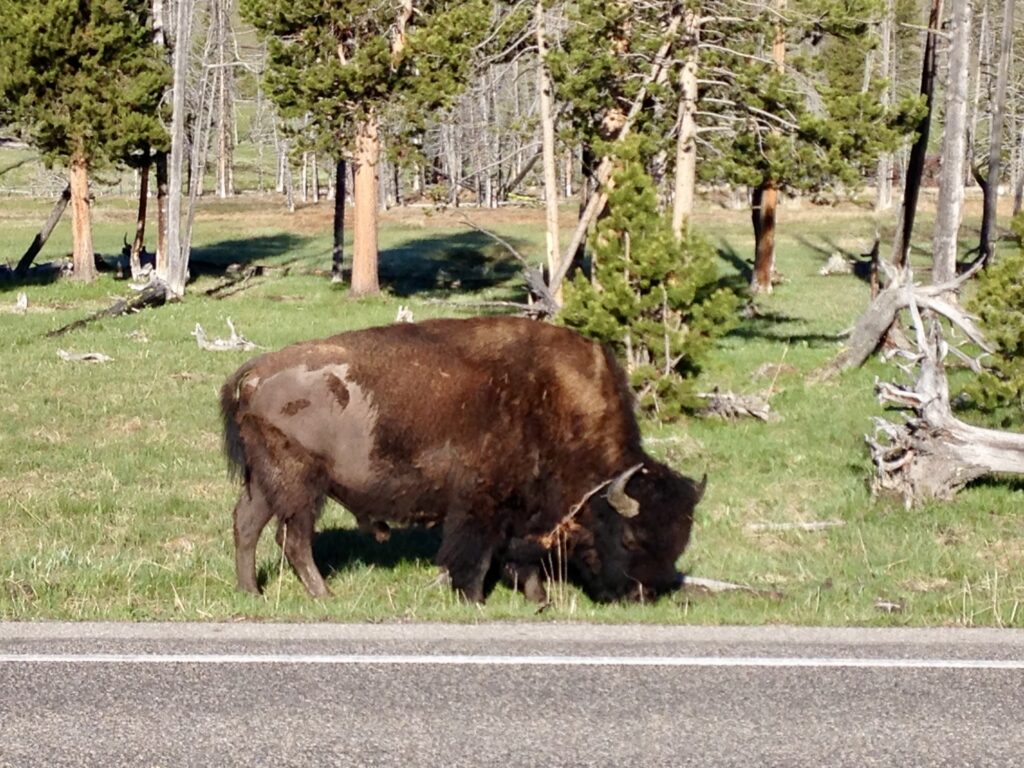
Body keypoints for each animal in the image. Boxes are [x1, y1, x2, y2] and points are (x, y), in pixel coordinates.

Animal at [220, 315, 704, 606]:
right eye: (631, 539)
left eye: (680, 541)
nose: (644, 594)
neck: (554, 402)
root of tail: (257, 371)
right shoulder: (480, 507)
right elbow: (477, 555)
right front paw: (475, 598)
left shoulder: (520, 512)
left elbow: (520, 556)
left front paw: (538, 600)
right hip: (301, 484)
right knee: (293, 539)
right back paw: (323, 595)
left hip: (263, 481)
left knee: (247, 524)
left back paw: (250, 591)